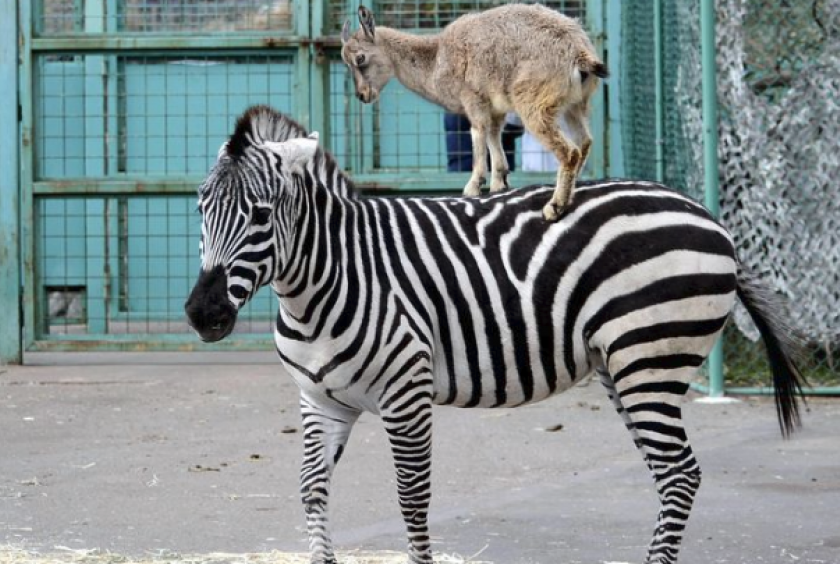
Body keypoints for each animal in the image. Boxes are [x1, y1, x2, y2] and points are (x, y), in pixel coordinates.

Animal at [184, 105, 805, 564]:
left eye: (261, 215)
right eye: (200, 208)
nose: (201, 313)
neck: (323, 283)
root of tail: (707, 216)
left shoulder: (406, 395)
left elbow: (412, 497)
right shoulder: (320, 400)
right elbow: (313, 489)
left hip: (651, 358)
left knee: (679, 474)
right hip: (622, 367)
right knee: (669, 472)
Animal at [340, 4, 608, 221]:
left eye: (360, 58)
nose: (362, 95)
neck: (437, 60)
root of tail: (580, 54)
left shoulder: (473, 98)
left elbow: (478, 133)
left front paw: (472, 186)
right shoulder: (496, 107)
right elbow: (493, 136)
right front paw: (499, 183)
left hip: (534, 102)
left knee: (569, 151)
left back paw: (554, 206)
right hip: (575, 105)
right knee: (584, 142)